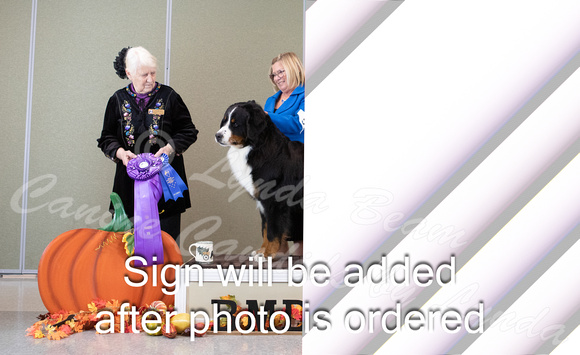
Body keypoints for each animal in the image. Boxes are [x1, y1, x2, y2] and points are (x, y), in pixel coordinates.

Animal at [213, 100, 304, 258]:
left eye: (235, 124)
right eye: (224, 121)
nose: (217, 135)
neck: (256, 148)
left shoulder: (274, 200)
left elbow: (272, 231)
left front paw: (268, 254)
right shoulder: (262, 201)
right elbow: (265, 229)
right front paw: (261, 251)